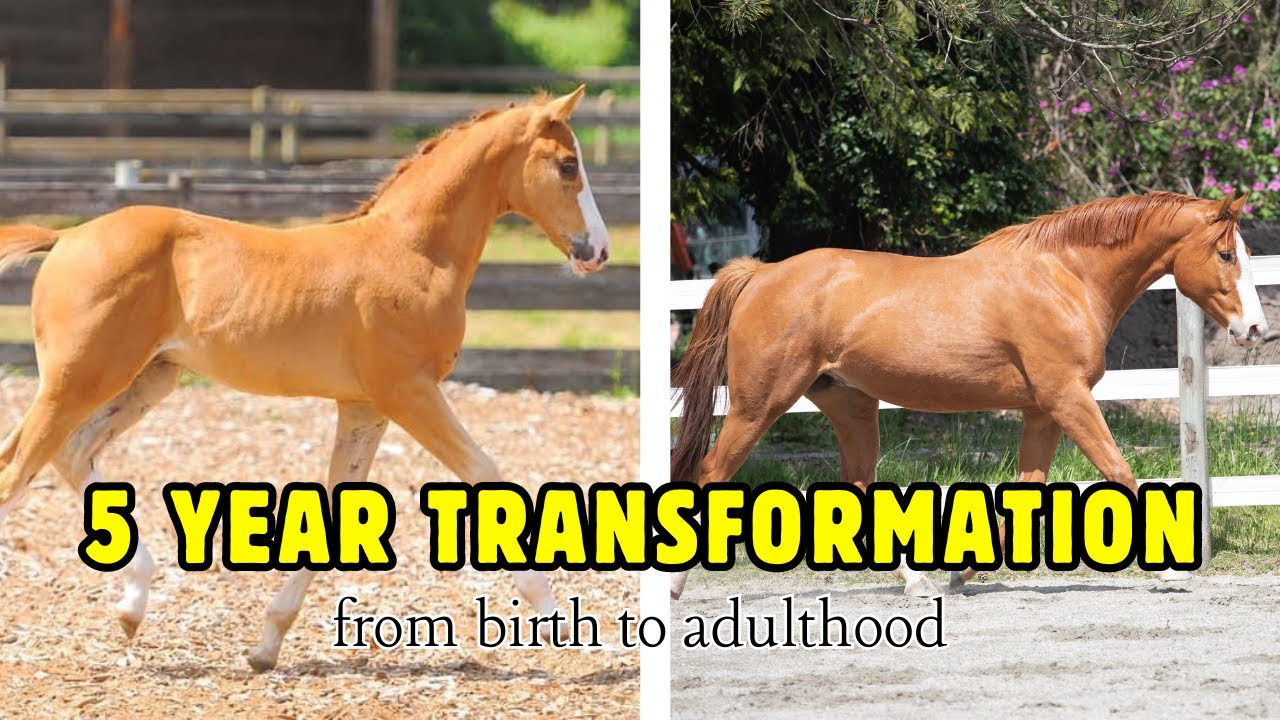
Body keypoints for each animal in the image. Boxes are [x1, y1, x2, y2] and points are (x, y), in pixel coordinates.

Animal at [0, 86, 610, 671]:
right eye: (566, 166)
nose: (599, 251)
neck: (412, 252)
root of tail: (67, 237)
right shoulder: (408, 392)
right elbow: (486, 473)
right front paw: (559, 622)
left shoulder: (365, 406)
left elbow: (339, 507)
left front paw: (266, 646)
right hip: (79, 380)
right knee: (18, 470)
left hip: (147, 379)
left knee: (71, 453)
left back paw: (132, 608)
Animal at [670, 191, 1269, 599]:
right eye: (1225, 254)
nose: (1255, 329)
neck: (1063, 278)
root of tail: (760, 274)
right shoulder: (1068, 399)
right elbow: (1120, 472)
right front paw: (1168, 568)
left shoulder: (1043, 412)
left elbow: (1028, 491)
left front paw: (962, 574)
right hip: (758, 405)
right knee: (710, 472)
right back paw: (675, 588)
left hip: (851, 407)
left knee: (859, 487)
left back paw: (919, 585)